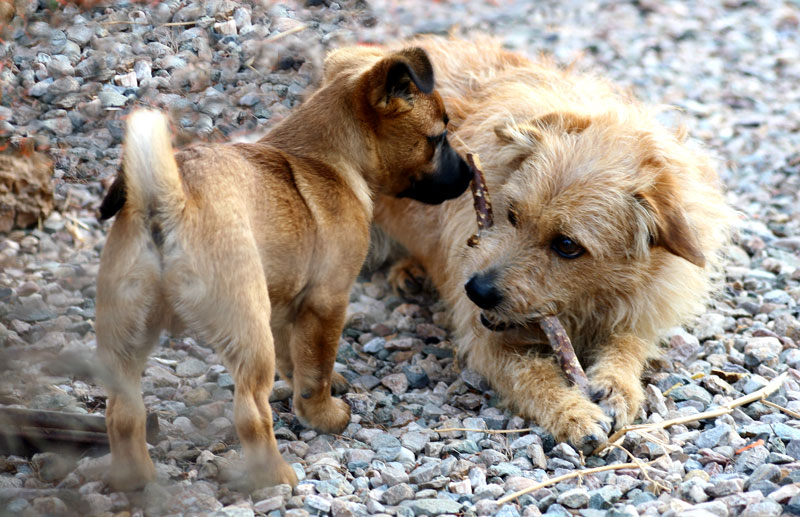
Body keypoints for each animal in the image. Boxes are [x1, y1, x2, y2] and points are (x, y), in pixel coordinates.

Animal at [94, 44, 472, 488]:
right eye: (438, 139)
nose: (469, 172)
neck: (330, 158)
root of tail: (167, 203)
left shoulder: (283, 301)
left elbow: (296, 356)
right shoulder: (327, 300)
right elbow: (316, 368)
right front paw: (323, 414)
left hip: (127, 334)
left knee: (123, 413)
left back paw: (135, 480)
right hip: (248, 331)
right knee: (251, 412)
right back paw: (276, 475)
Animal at [378, 36, 736, 454]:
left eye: (567, 245)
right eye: (512, 214)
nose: (476, 291)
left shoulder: (643, 308)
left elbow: (628, 344)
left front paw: (617, 386)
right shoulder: (486, 341)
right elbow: (533, 376)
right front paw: (572, 414)